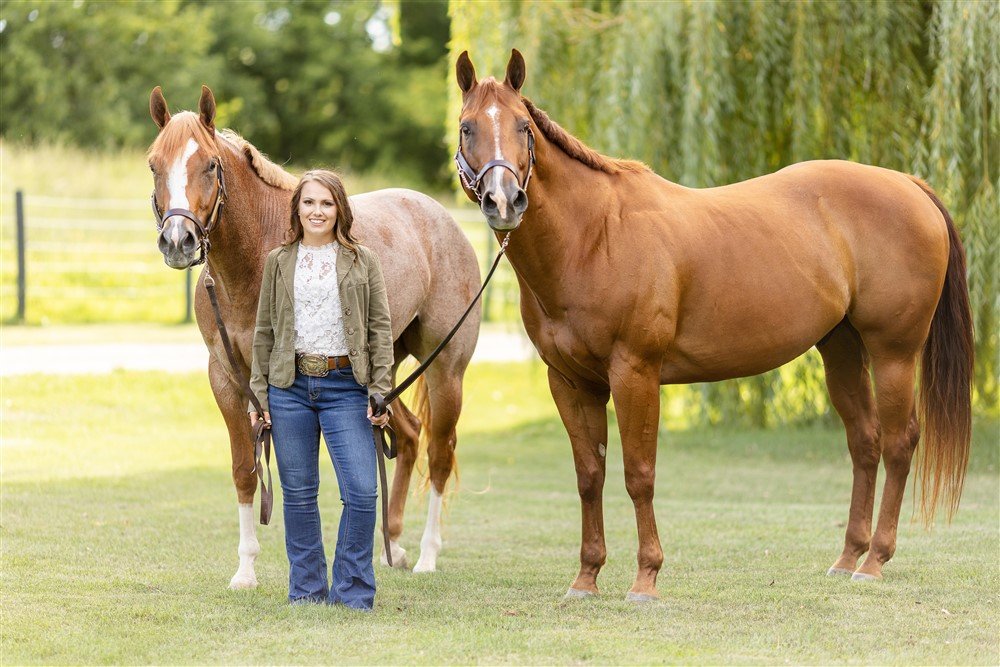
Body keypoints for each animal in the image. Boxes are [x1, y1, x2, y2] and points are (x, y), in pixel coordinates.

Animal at [146, 86, 484, 588]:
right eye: (154, 164)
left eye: (209, 164)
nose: (177, 240)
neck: (254, 258)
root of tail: (444, 221)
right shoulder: (226, 378)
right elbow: (246, 471)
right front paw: (245, 570)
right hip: (381, 372)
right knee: (407, 436)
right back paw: (393, 546)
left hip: (446, 370)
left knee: (440, 454)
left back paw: (426, 555)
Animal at [458, 48, 972, 600]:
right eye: (467, 127)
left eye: (524, 126)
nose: (504, 201)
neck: (594, 236)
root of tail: (909, 185)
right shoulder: (571, 383)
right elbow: (589, 475)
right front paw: (586, 578)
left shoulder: (635, 373)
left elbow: (639, 474)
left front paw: (646, 579)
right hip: (841, 349)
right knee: (865, 441)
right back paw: (847, 557)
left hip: (895, 353)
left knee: (899, 442)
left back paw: (874, 561)